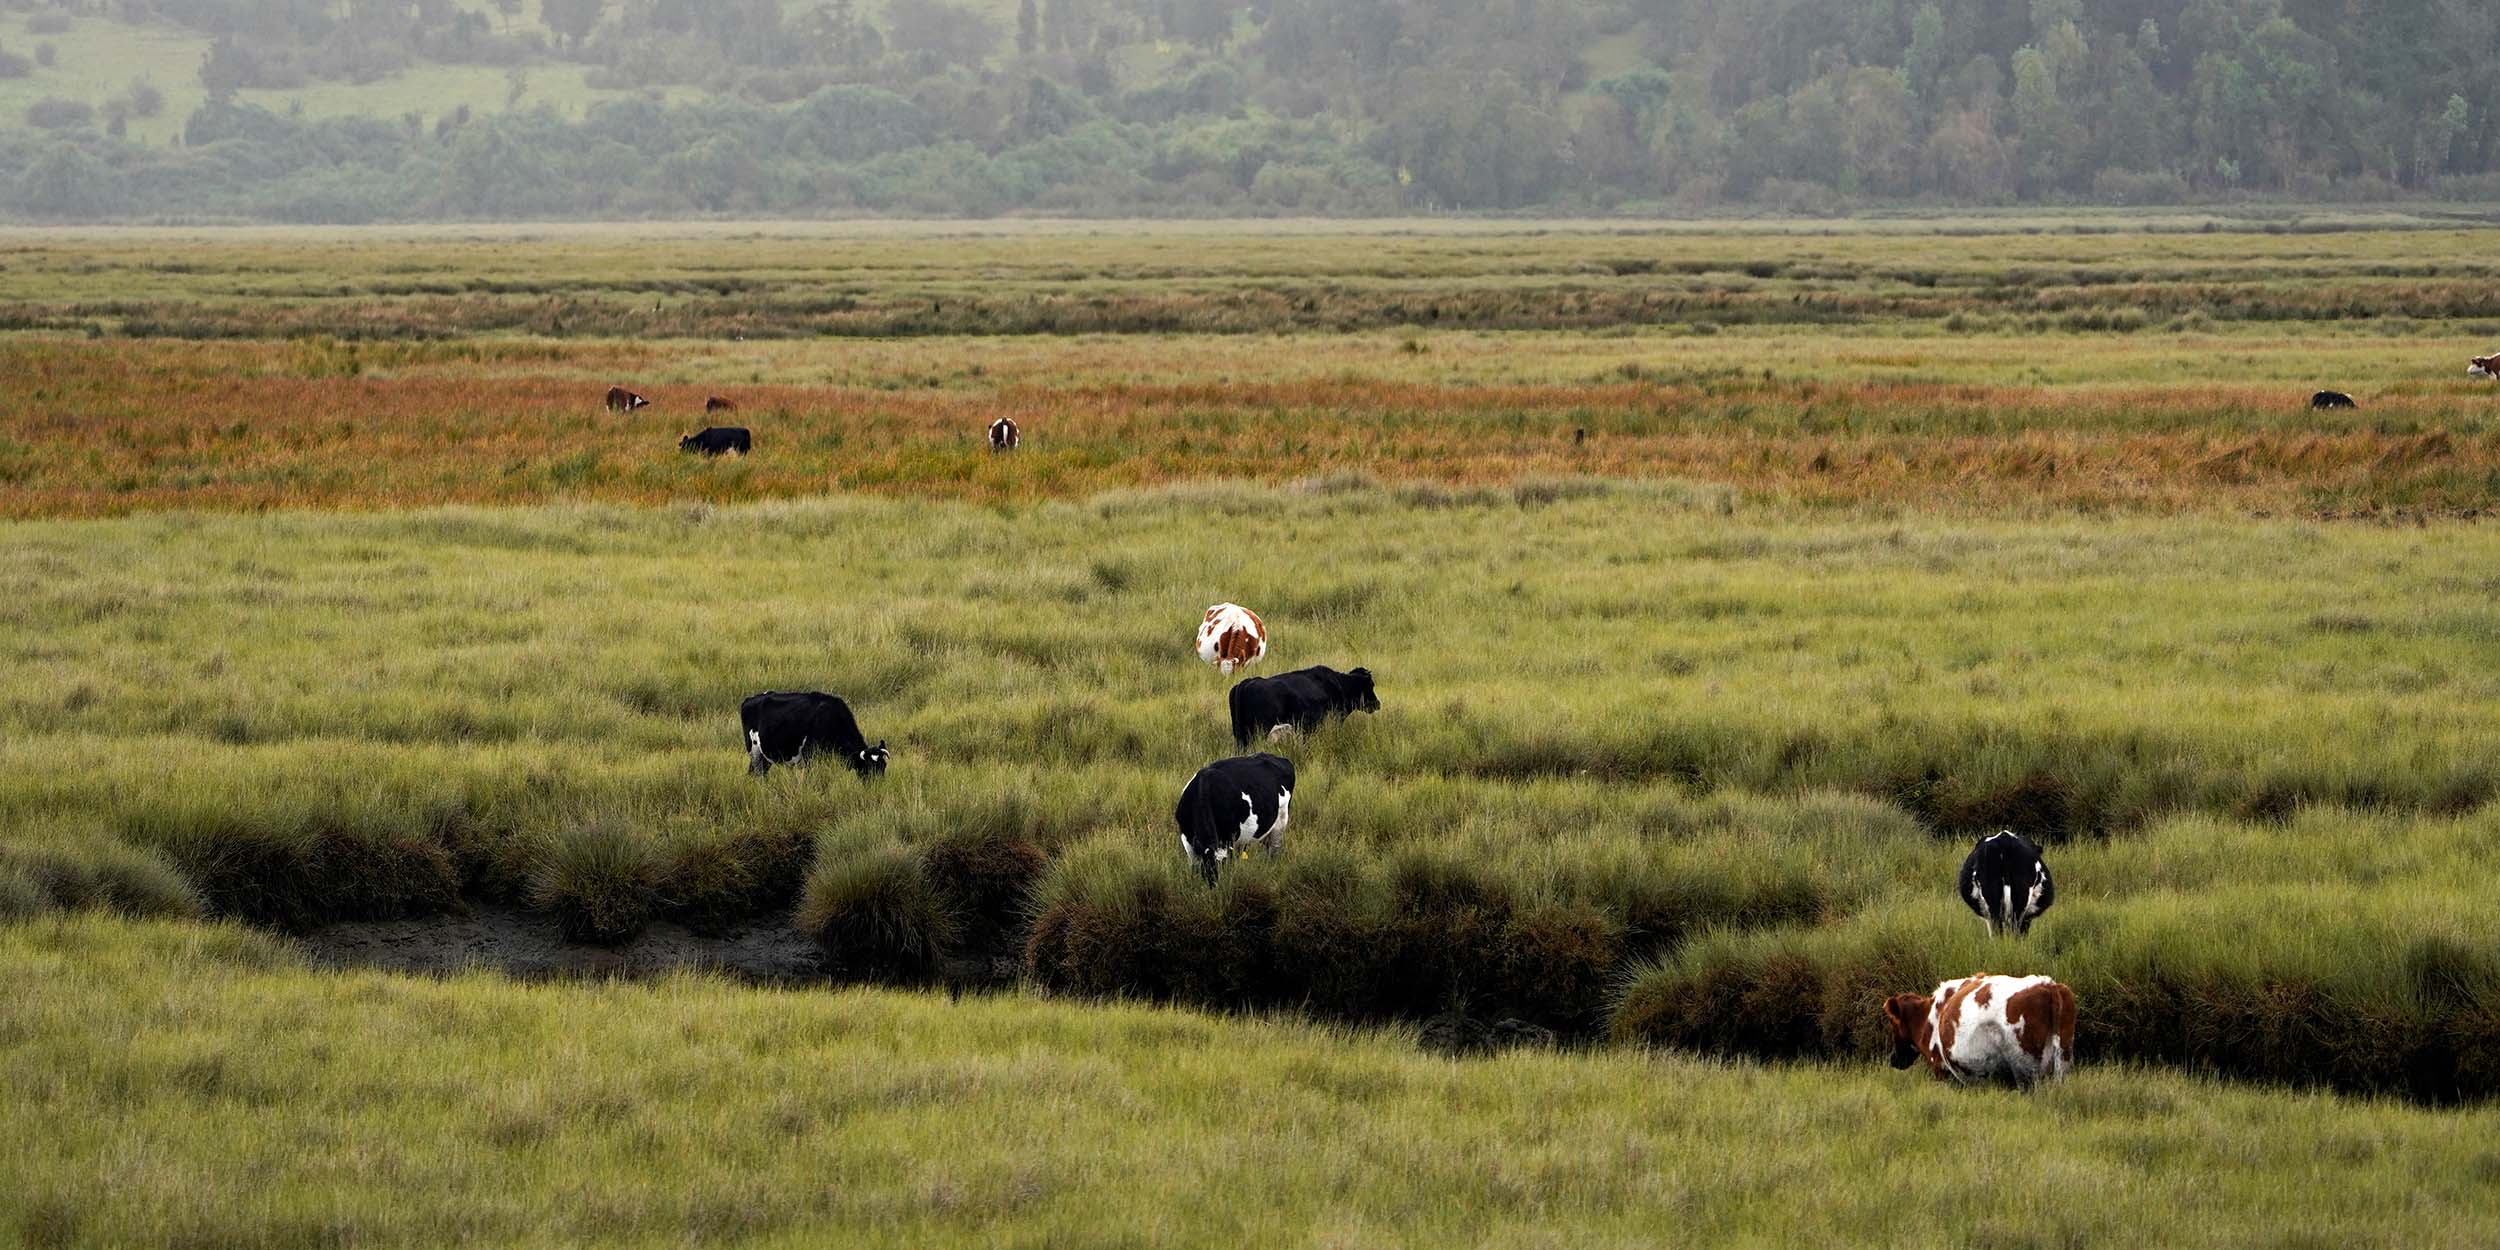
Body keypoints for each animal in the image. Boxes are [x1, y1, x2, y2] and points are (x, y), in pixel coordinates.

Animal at [740, 690, 890, 775]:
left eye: (883, 767)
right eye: (869, 768)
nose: (877, 789)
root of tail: (749, 699)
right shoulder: (809, 755)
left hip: (764, 754)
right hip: (754, 750)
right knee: (756, 773)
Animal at [1170, 750, 1290, 890]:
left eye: (1226, 868)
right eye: (1209, 869)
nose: (1217, 889)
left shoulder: (1229, 837)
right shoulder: (1186, 838)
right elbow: (1194, 867)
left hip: (1281, 820)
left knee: (1274, 850)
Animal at [1880, 970, 2080, 1090]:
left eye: (1891, 1022)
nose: (1893, 1059)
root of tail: (2048, 984)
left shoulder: (1943, 1073)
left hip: (2027, 1069)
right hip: (2063, 1058)